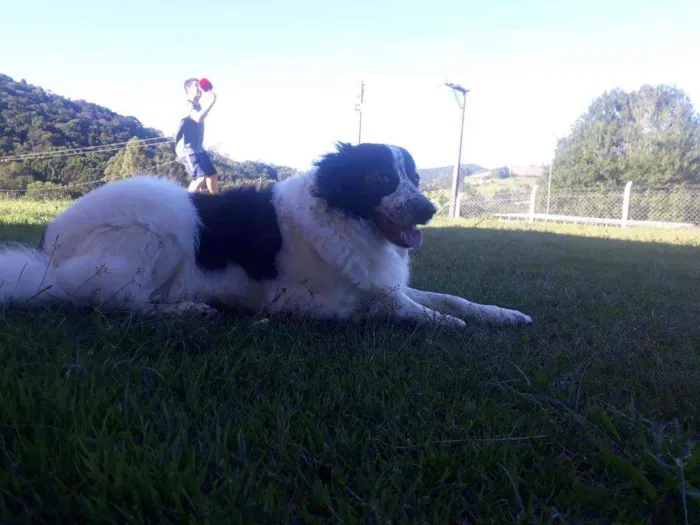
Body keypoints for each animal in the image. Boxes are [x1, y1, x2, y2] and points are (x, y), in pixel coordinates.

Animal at [0, 142, 532, 328]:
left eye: (416, 178)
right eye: (380, 178)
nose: (429, 209)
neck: (345, 219)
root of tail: (50, 249)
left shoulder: (382, 280)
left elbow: (451, 298)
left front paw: (502, 314)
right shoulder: (323, 302)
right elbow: (408, 309)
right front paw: (448, 325)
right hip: (164, 215)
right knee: (108, 300)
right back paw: (186, 309)